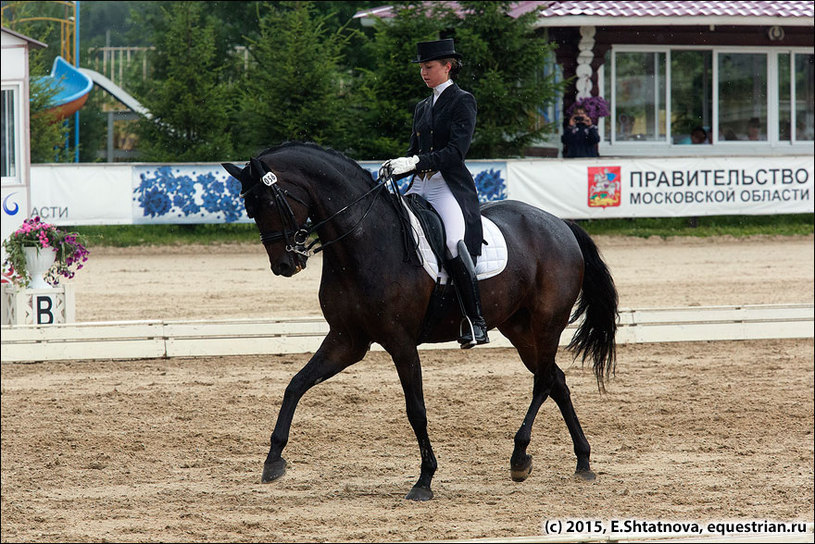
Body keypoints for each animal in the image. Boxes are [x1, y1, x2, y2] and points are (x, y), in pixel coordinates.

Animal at [223, 141, 620, 502]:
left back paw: (520, 457)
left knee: (543, 382)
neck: (363, 242)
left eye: (269, 202)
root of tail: (559, 224)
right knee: (555, 379)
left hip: (547, 322)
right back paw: (582, 462)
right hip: (519, 328)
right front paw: (273, 460)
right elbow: (296, 384)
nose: (285, 265)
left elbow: (416, 410)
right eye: (249, 208)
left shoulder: (400, 342)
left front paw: (424, 480)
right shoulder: (346, 340)